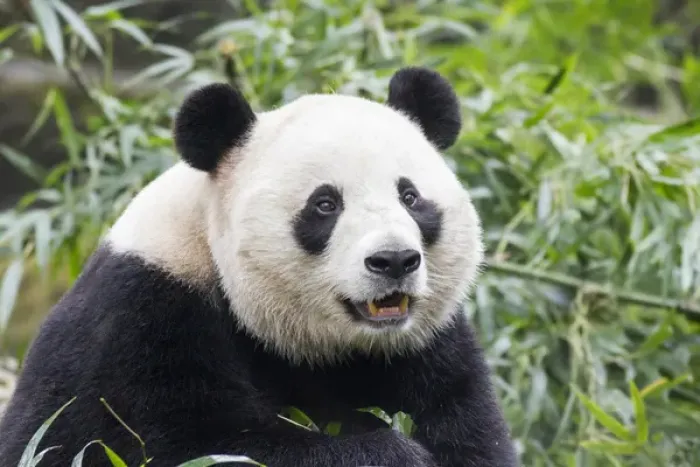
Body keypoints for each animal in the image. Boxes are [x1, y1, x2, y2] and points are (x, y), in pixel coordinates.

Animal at [0, 67, 518, 467]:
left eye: (410, 197)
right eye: (325, 205)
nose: (393, 260)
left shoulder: (425, 348)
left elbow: (465, 426)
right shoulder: (141, 321)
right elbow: (184, 445)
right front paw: (394, 453)